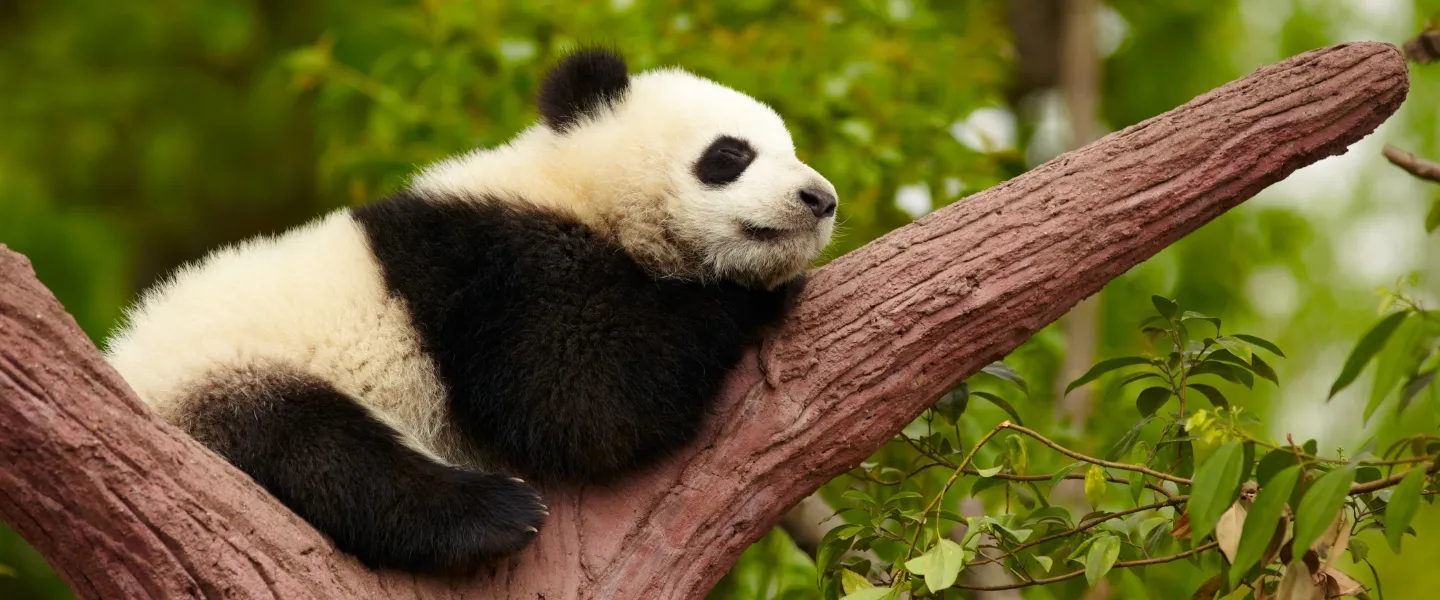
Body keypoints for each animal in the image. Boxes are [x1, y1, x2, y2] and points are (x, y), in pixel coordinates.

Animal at [102, 48, 837, 573]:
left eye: (793, 148)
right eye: (730, 155)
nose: (820, 199)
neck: (572, 186)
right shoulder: (498, 269)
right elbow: (583, 400)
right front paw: (752, 294)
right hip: (225, 376)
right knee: (317, 450)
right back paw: (495, 514)